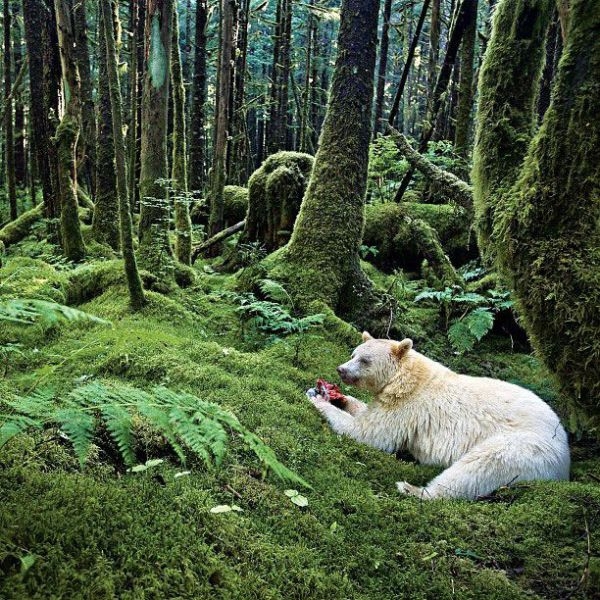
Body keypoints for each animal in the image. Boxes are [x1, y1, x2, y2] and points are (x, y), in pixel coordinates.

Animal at [310, 332, 572, 496]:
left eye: (364, 360)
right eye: (353, 353)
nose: (341, 369)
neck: (406, 378)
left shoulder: (407, 407)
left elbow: (371, 434)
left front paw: (318, 400)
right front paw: (336, 396)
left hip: (525, 448)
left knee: (478, 468)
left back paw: (413, 489)